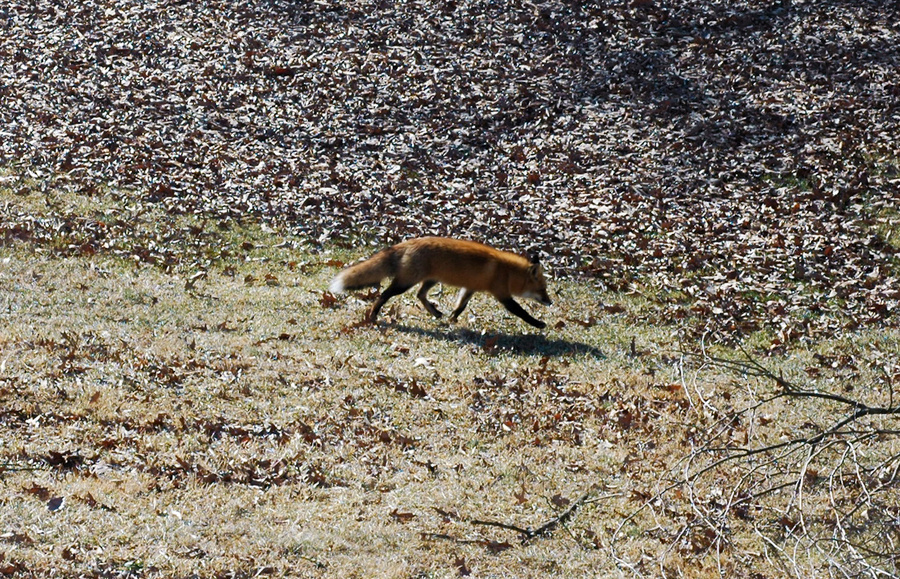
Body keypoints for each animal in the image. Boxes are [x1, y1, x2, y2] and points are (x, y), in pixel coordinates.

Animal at [330, 237, 552, 328]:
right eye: (542, 289)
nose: (550, 302)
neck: (506, 272)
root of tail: (408, 242)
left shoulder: (470, 288)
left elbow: (461, 306)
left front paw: (452, 319)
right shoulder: (502, 295)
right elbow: (521, 312)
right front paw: (538, 324)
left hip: (431, 280)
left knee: (420, 295)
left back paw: (436, 313)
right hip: (405, 283)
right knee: (384, 294)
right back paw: (374, 314)